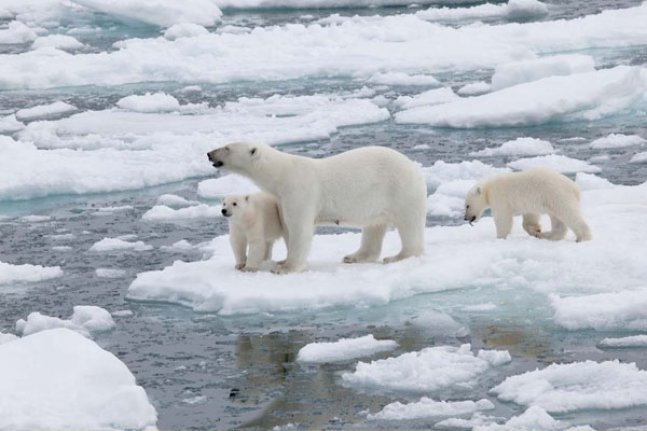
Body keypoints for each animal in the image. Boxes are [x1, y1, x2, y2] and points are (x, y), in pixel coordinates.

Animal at [209, 144, 430, 274]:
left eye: (227, 147)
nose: (209, 153)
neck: (282, 173)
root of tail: (415, 168)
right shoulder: (281, 199)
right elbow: (287, 228)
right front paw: (282, 260)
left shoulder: (298, 190)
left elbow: (300, 229)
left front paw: (286, 267)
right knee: (374, 226)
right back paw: (354, 256)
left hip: (400, 190)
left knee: (409, 225)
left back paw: (397, 257)